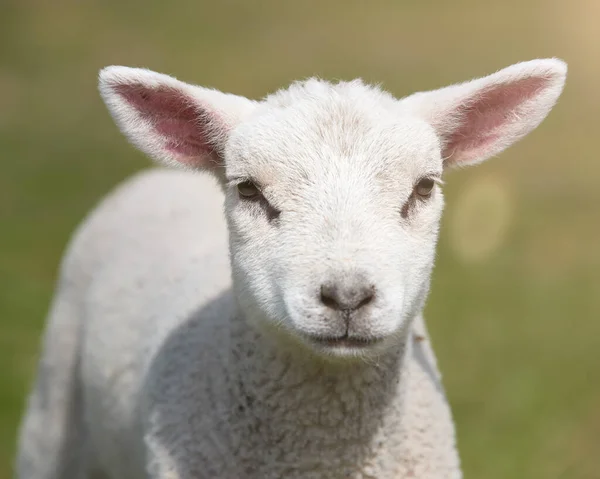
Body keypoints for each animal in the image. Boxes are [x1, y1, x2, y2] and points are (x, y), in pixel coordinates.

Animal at [15, 58, 568, 478]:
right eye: (248, 190)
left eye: (424, 187)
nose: (347, 296)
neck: (323, 446)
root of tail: (157, 176)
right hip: (52, 415)